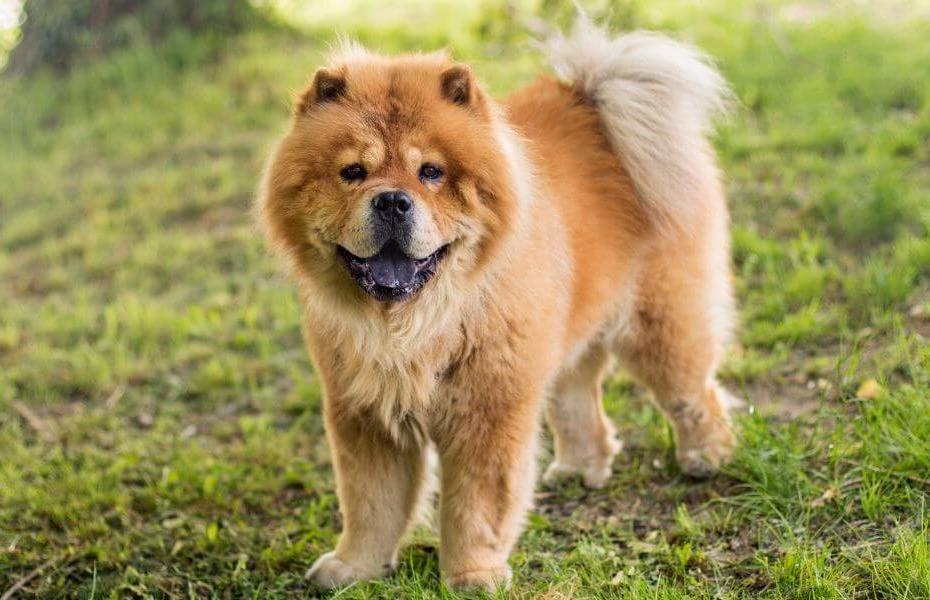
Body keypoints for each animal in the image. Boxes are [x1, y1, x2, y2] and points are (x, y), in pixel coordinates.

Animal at [258, 17, 736, 592]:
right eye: (353, 172)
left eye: (431, 172)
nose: (392, 200)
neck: (415, 326)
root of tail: (594, 100)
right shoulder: (364, 415)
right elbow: (370, 503)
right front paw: (354, 567)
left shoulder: (488, 410)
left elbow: (477, 505)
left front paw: (472, 575)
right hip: (560, 342)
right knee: (578, 402)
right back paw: (581, 469)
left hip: (657, 328)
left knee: (693, 393)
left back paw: (706, 456)